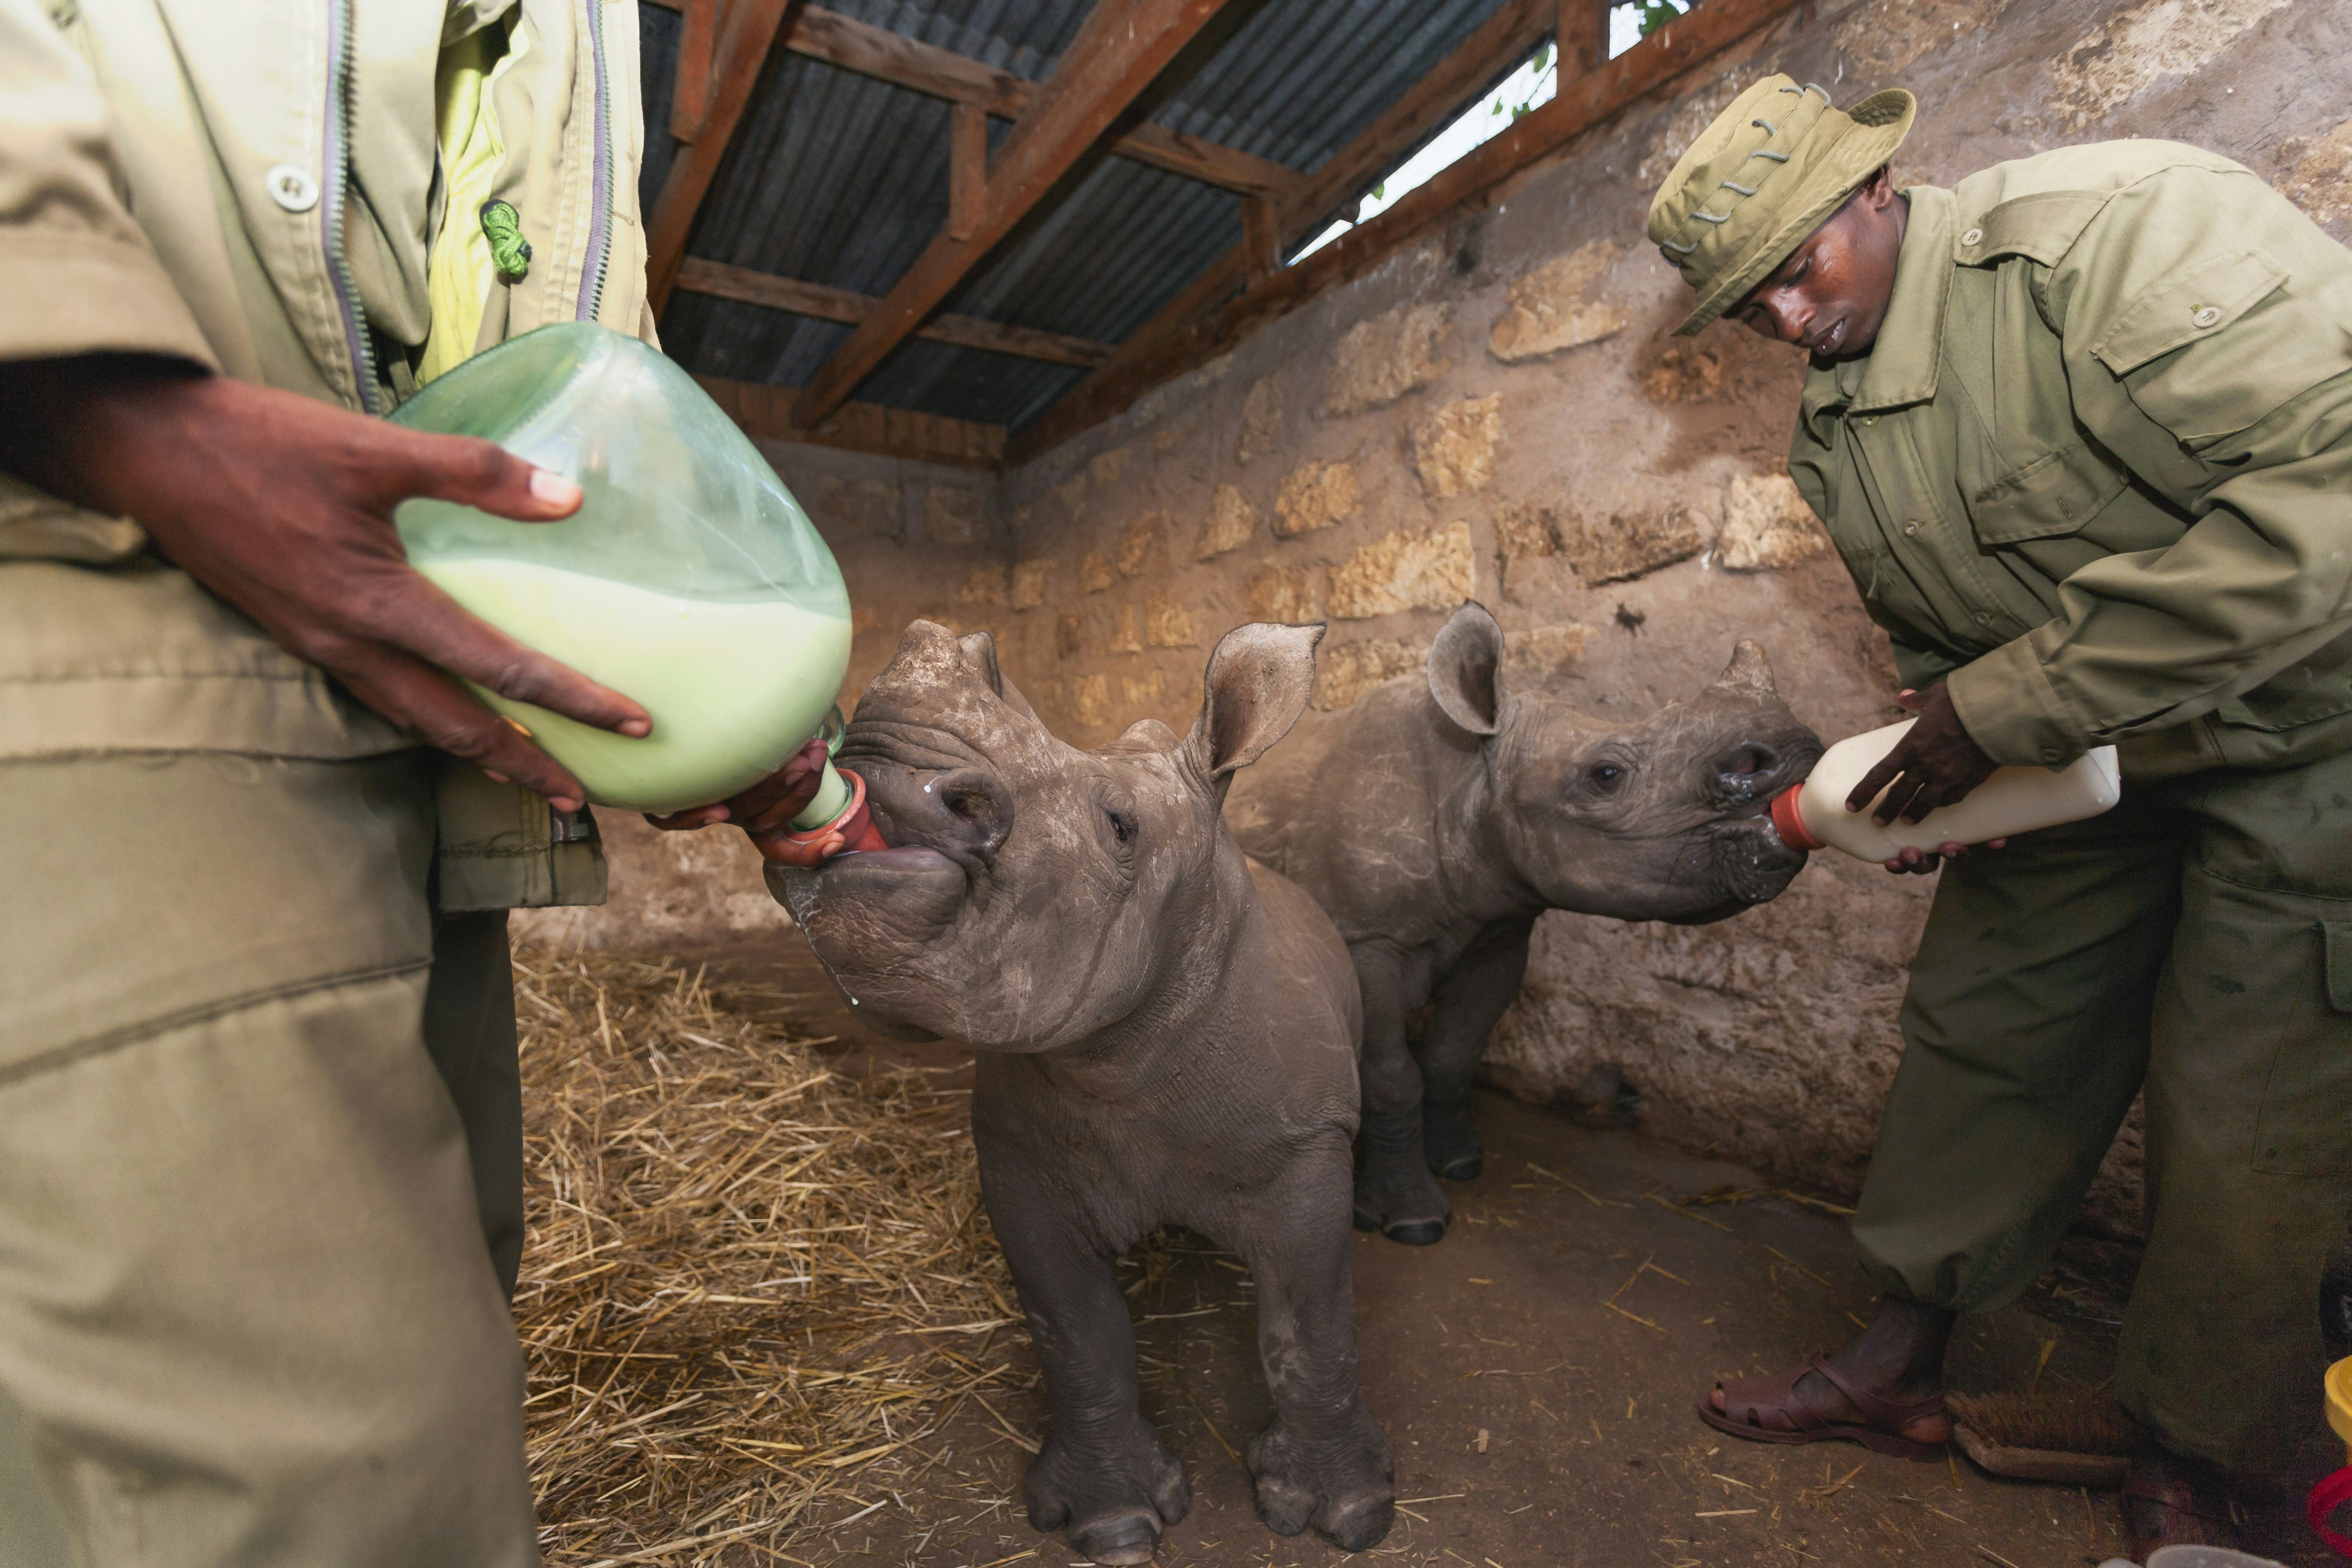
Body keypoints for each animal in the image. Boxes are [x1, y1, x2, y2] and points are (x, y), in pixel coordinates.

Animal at [771, 620, 1392, 1566]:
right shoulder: (1023, 1162)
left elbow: (1313, 1325)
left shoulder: (1304, 1145)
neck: (1128, 1052)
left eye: (1121, 827)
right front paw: (1116, 1525)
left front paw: (1345, 1515)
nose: (878, 771)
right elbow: (1076, 1335)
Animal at [1224, 601, 1821, 1245]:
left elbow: (1455, 1055)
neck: (1470, 771)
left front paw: (1462, 1162)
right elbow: (1391, 1076)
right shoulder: (1366, 939)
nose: (1796, 749)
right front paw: (1413, 1223)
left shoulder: (1500, 928)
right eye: (1605, 776)